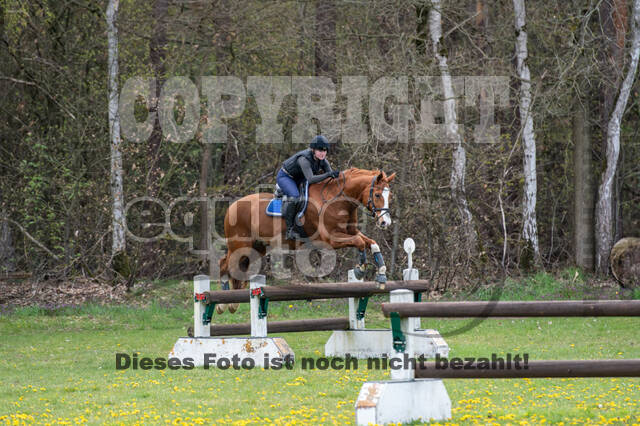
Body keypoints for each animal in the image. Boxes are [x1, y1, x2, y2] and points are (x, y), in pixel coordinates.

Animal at [218, 167, 396, 312]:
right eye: (377, 194)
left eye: (390, 197)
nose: (385, 223)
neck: (336, 199)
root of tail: (232, 206)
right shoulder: (331, 239)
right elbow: (359, 242)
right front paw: (360, 269)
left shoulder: (350, 231)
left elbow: (371, 243)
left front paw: (381, 274)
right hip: (240, 245)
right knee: (224, 264)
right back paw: (222, 304)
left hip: (257, 248)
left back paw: (232, 303)